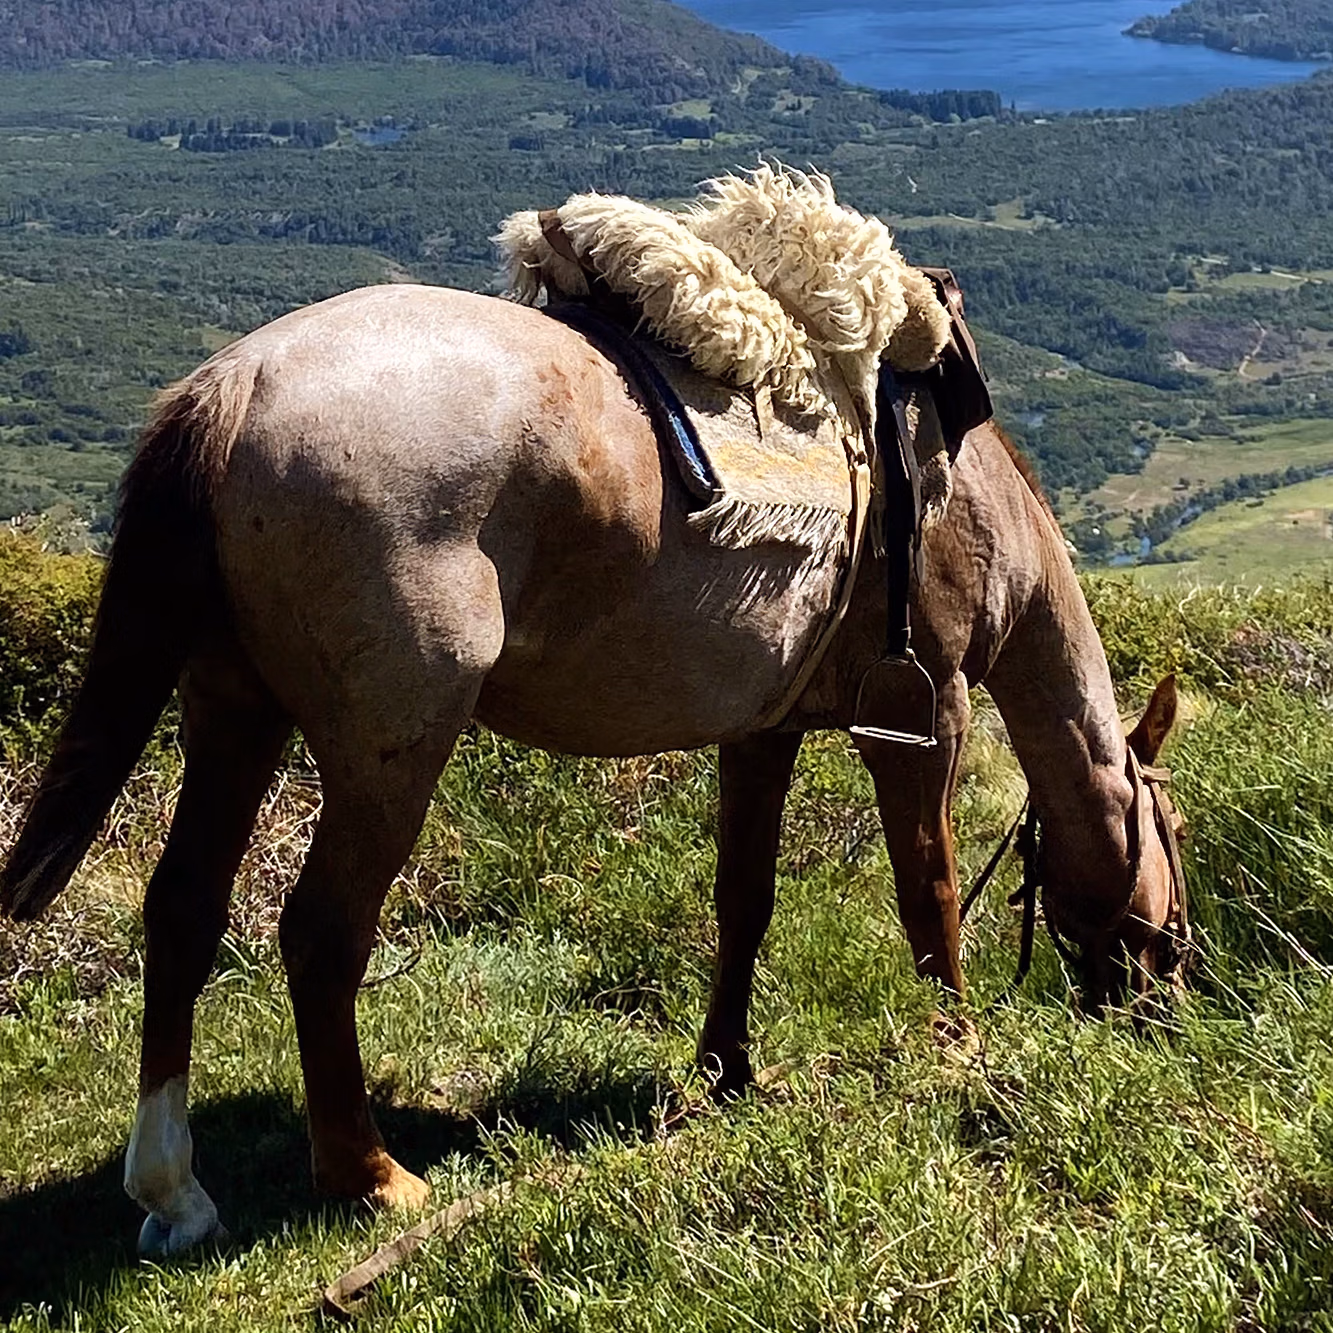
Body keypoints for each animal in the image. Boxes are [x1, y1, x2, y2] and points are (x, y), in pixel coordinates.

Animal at [0, 283, 1187, 1258]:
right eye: (1171, 839)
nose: (1169, 995)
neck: (963, 492)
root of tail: (235, 385)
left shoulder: (760, 730)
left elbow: (743, 902)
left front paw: (724, 1073)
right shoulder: (921, 712)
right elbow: (925, 892)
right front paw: (956, 1051)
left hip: (233, 712)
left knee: (183, 911)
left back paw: (175, 1190)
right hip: (388, 752)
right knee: (320, 934)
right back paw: (370, 1174)